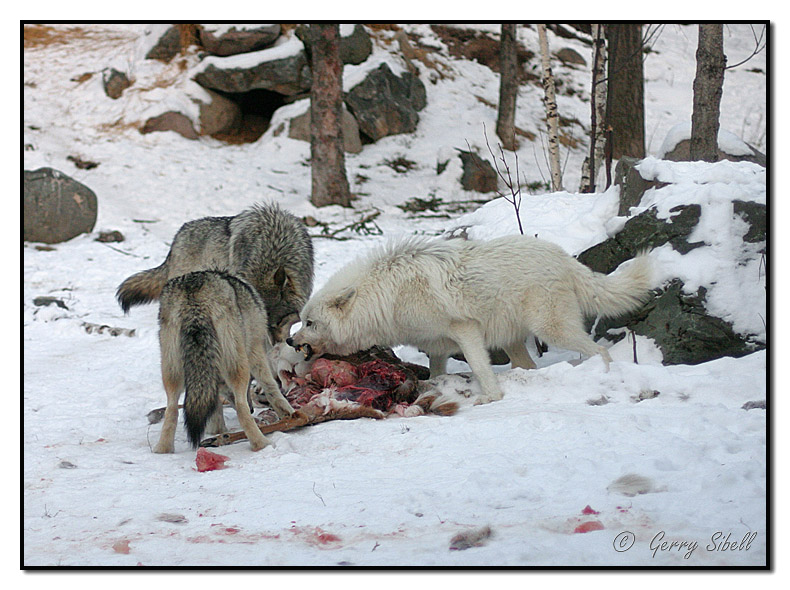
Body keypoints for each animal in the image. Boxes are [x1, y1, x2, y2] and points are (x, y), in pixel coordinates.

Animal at [153, 270, 296, 456]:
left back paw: (163, 449)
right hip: (238, 366)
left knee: (171, 410)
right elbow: (270, 387)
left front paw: (217, 430)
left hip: (172, 373)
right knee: (241, 408)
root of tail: (193, 299)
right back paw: (262, 443)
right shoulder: (256, 350)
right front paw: (290, 413)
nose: (253, 409)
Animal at [288, 236, 652, 408]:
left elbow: (478, 365)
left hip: (552, 330)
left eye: (310, 323)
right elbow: (436, 372)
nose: (290, 341)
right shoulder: (436, 345)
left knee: (599, 351)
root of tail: (564, 257)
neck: (384, 296)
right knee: (530, 366)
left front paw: (490, 397)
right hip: (515, 340)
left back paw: (604, 376)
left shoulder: (465, 330)